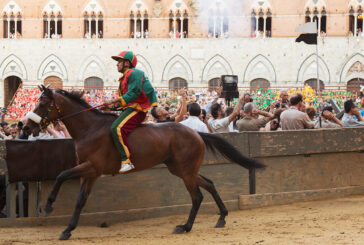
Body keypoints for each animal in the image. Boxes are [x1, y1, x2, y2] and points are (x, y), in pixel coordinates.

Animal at [24, 85, 266, 240]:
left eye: (42, 103)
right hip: (181, 169)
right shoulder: (89, 173)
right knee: (209, 184)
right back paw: (221, 217)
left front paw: (48, 206)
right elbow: (79, 200)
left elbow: (61, 175)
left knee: (197, 195)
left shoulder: (92, 168)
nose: (26, 127)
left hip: (185, 171)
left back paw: (186, 226)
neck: (89, 128)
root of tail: (196, 133)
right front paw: (68, 229)